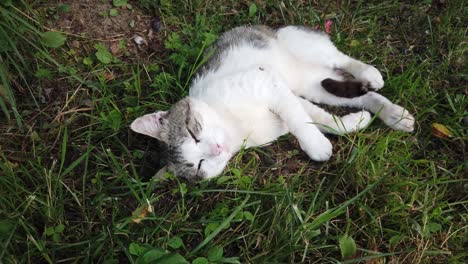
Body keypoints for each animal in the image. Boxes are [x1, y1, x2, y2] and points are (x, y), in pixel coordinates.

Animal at [130, 25, 414, 180]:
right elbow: (320, 120)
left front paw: (317, 147)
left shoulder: (266, 82)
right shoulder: (290, 97)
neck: (236, 126)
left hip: (300, 43)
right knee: (356, 93)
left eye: (193, 133)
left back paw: (370, 74)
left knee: (342, 59)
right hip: (312, 86)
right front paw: (352, 124)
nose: (218, 149)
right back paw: (393, 115)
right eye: (199, 166)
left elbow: (301, 121)